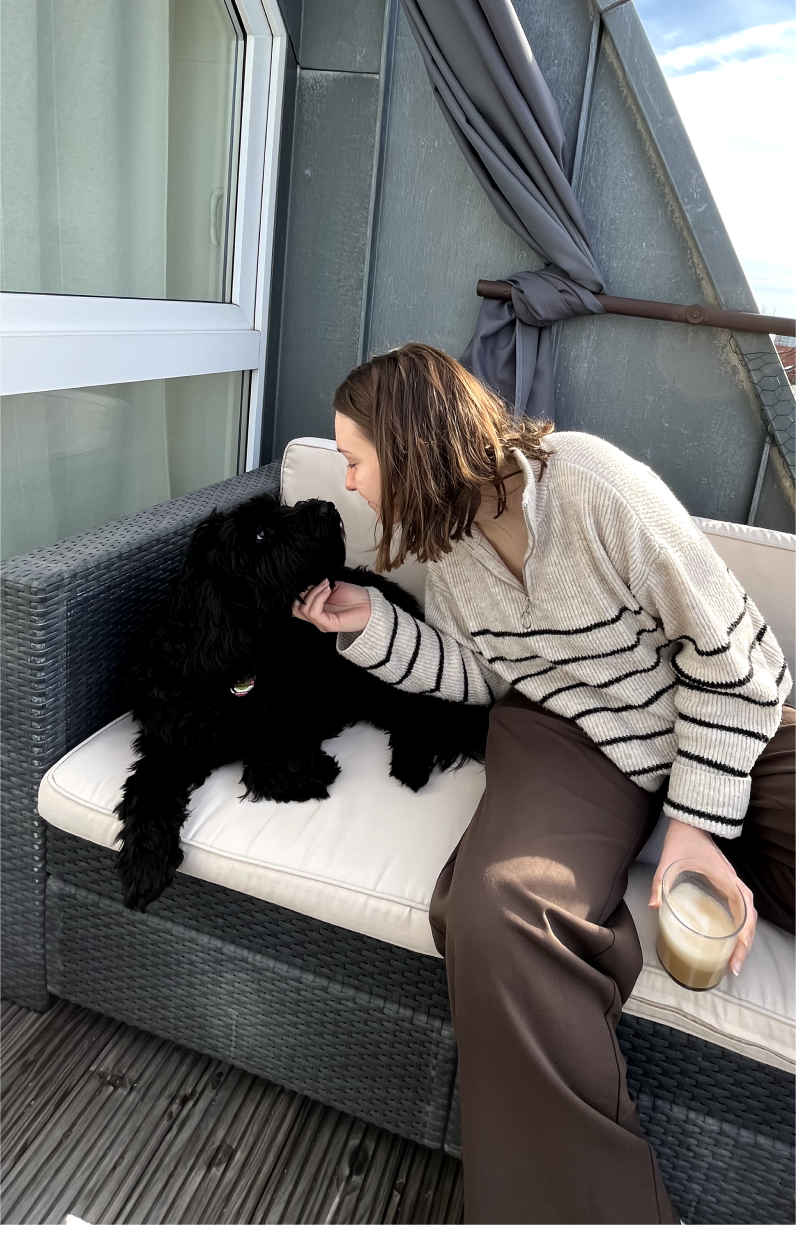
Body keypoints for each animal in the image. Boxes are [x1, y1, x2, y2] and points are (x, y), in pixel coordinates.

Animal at [114, 488, 486, 907]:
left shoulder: (303, 708)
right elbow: (146, 791)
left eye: (279, 508)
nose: (327, 507)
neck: (238, 659)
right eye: (260, 534)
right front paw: (144, 865)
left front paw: (309, 772)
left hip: (373, 681)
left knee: (422, 712)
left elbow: (263, 759)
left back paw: (412, 762)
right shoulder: (168, 743)